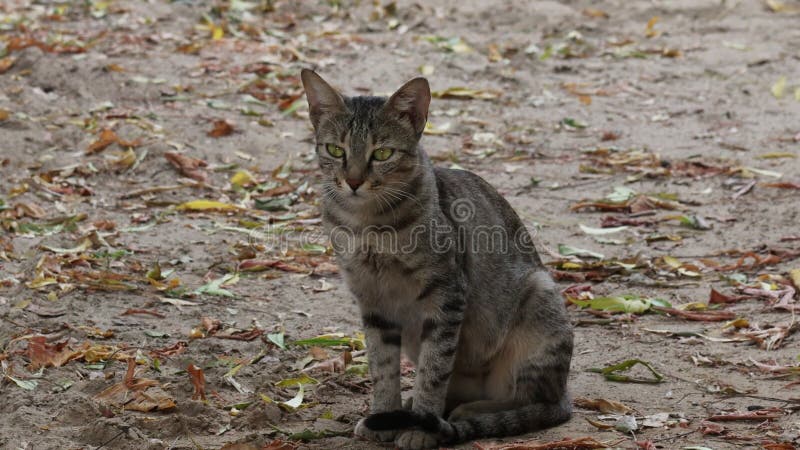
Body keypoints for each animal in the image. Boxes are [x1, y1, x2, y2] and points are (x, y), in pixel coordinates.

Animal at [302, 69, 576, 450]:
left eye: (382, 152)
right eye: (335, 149)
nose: (353, 181)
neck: (368, 225)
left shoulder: (446, 294)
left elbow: (433, 370)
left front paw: (421, 427)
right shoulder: (372, 301)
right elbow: (382, 367)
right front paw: (385, 414)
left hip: (539, 301)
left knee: (535, 401)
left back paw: (466, 412)